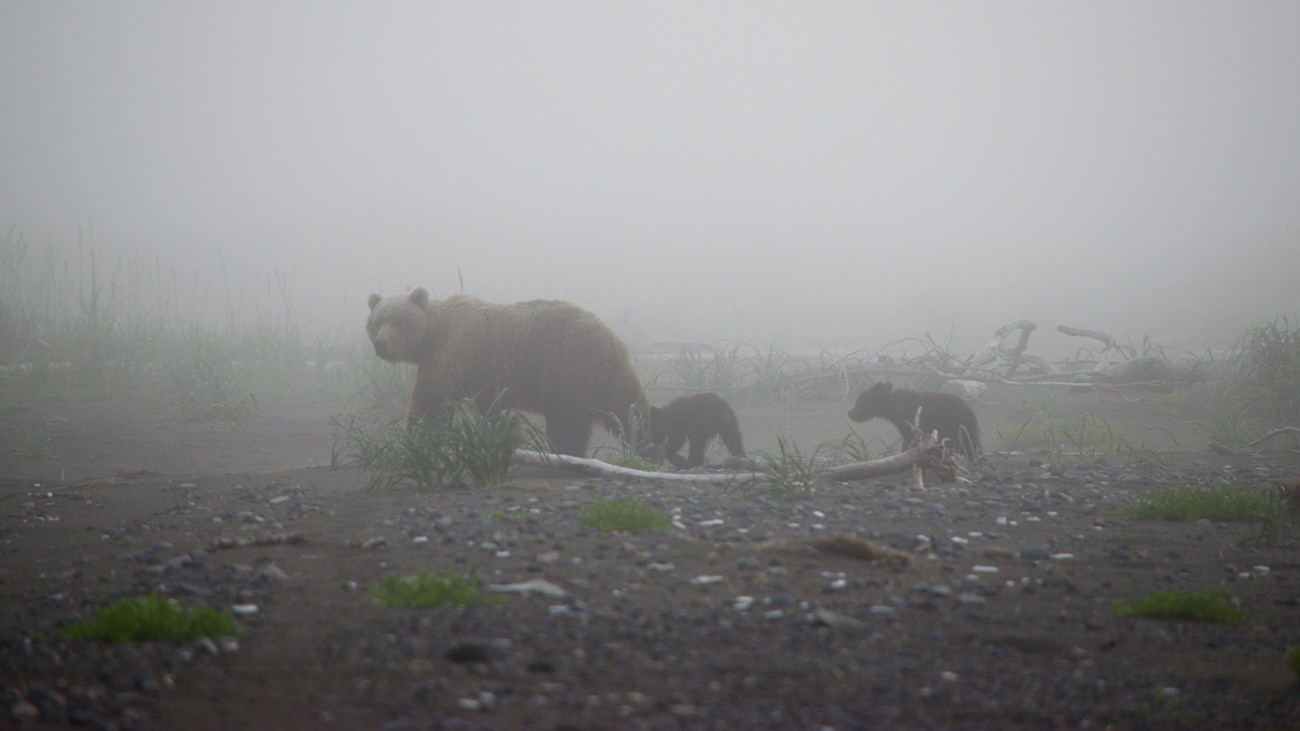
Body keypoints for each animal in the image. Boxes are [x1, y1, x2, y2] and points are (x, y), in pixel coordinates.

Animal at [366, 288, 648, 458]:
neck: (433, 334)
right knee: (628, 407)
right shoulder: (481, 375)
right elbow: (495, 412)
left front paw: (416, 442)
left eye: (397, 321)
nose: (381, 343)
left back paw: (566, 449)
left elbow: (431, 401)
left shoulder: (453, 353)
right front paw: (504, 442)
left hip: (567, 364)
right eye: (376, 321)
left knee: (568, 417)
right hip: (606, 372)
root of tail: (611, 336)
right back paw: (649, 442)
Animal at [847, 381, 980, 460]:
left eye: (859, 402)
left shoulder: (909, 421)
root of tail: (970, 411)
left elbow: (908, 438)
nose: (850, 413)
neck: (893, 408)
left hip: (953, 425)